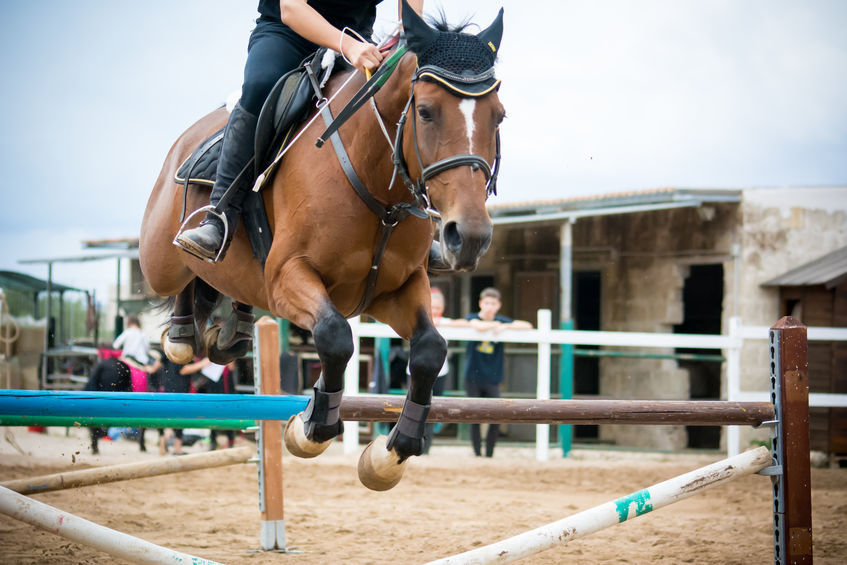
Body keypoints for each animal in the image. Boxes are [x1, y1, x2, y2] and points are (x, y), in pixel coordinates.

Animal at [139, 3, 504, 490]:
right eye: (425, 112)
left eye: (499, 116)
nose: (470, 237)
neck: (376, 184)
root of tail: (186, 139)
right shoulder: (288, 276)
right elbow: (334, 336)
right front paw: (311, 428)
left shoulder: (397, 288)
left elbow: (430, 349)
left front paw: (392, 453)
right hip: (159, 258)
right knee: (182, 272)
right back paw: (184, 320)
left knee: (228, 288)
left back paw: (233, 331)